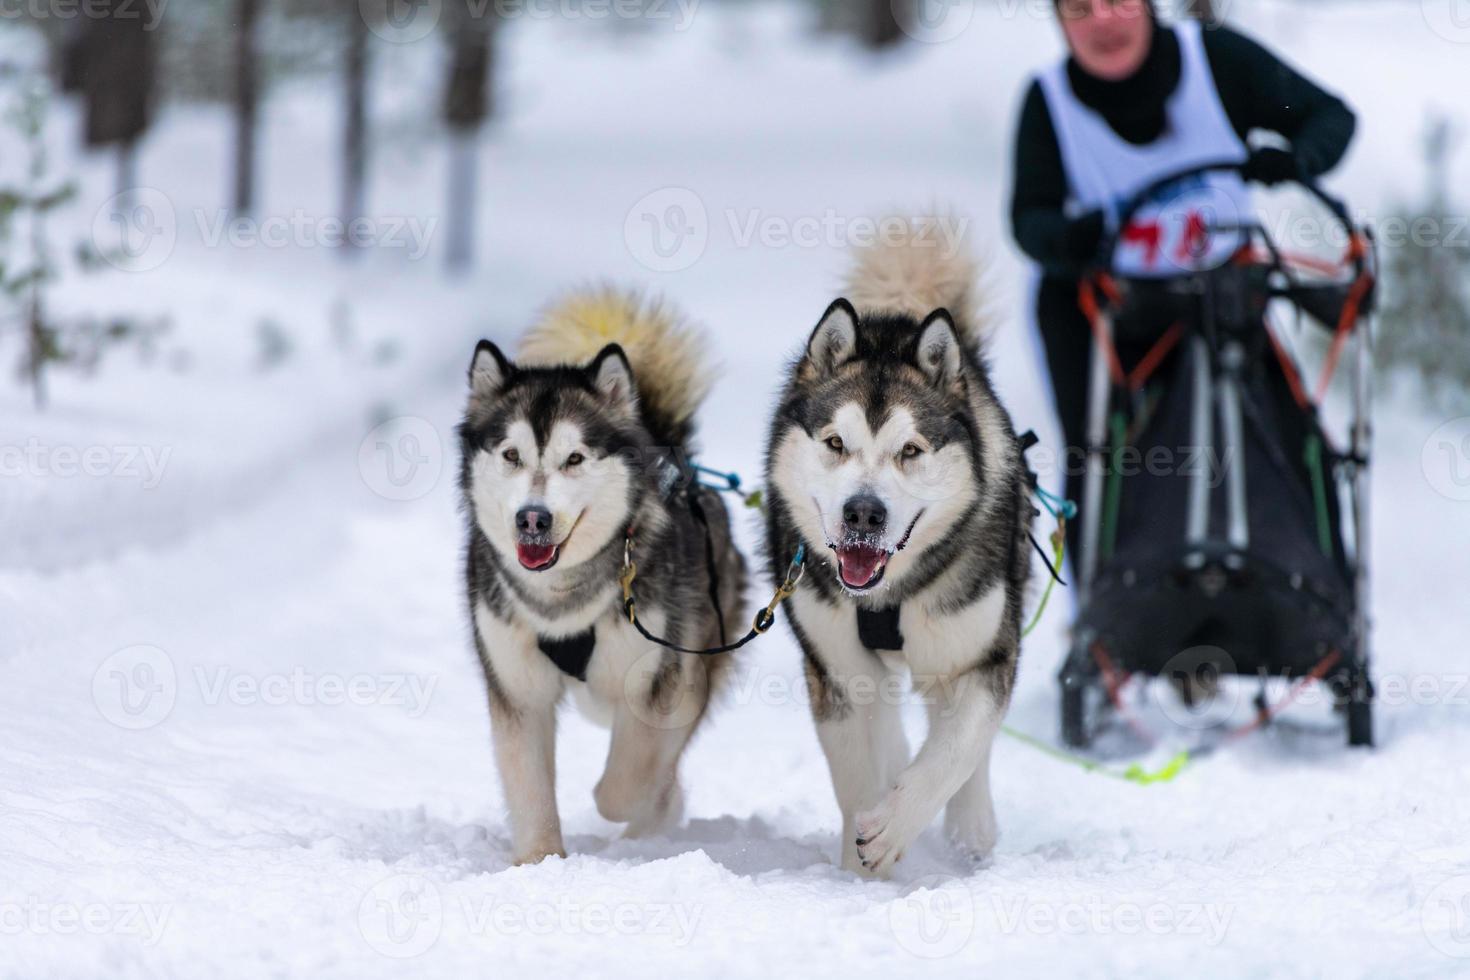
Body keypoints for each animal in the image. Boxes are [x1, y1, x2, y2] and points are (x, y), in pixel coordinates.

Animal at [455, 289, 740, 863]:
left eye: (574, 458)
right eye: (512, 455)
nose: (533, 518)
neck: (562, 600)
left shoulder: (654, 676)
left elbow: (626, 783)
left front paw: (642, 806)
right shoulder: (517, 688)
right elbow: (529, 782)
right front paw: (541, 860)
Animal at [770, 226, 1034, 875]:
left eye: (910, 450)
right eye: (836, 443)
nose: (863, 513)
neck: (889, 595)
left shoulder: (983, 653)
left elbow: (957, 751)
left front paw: (895, 826)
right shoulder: (835, 668)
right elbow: (857, 770)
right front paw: (860, 863)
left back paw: (971, 828)